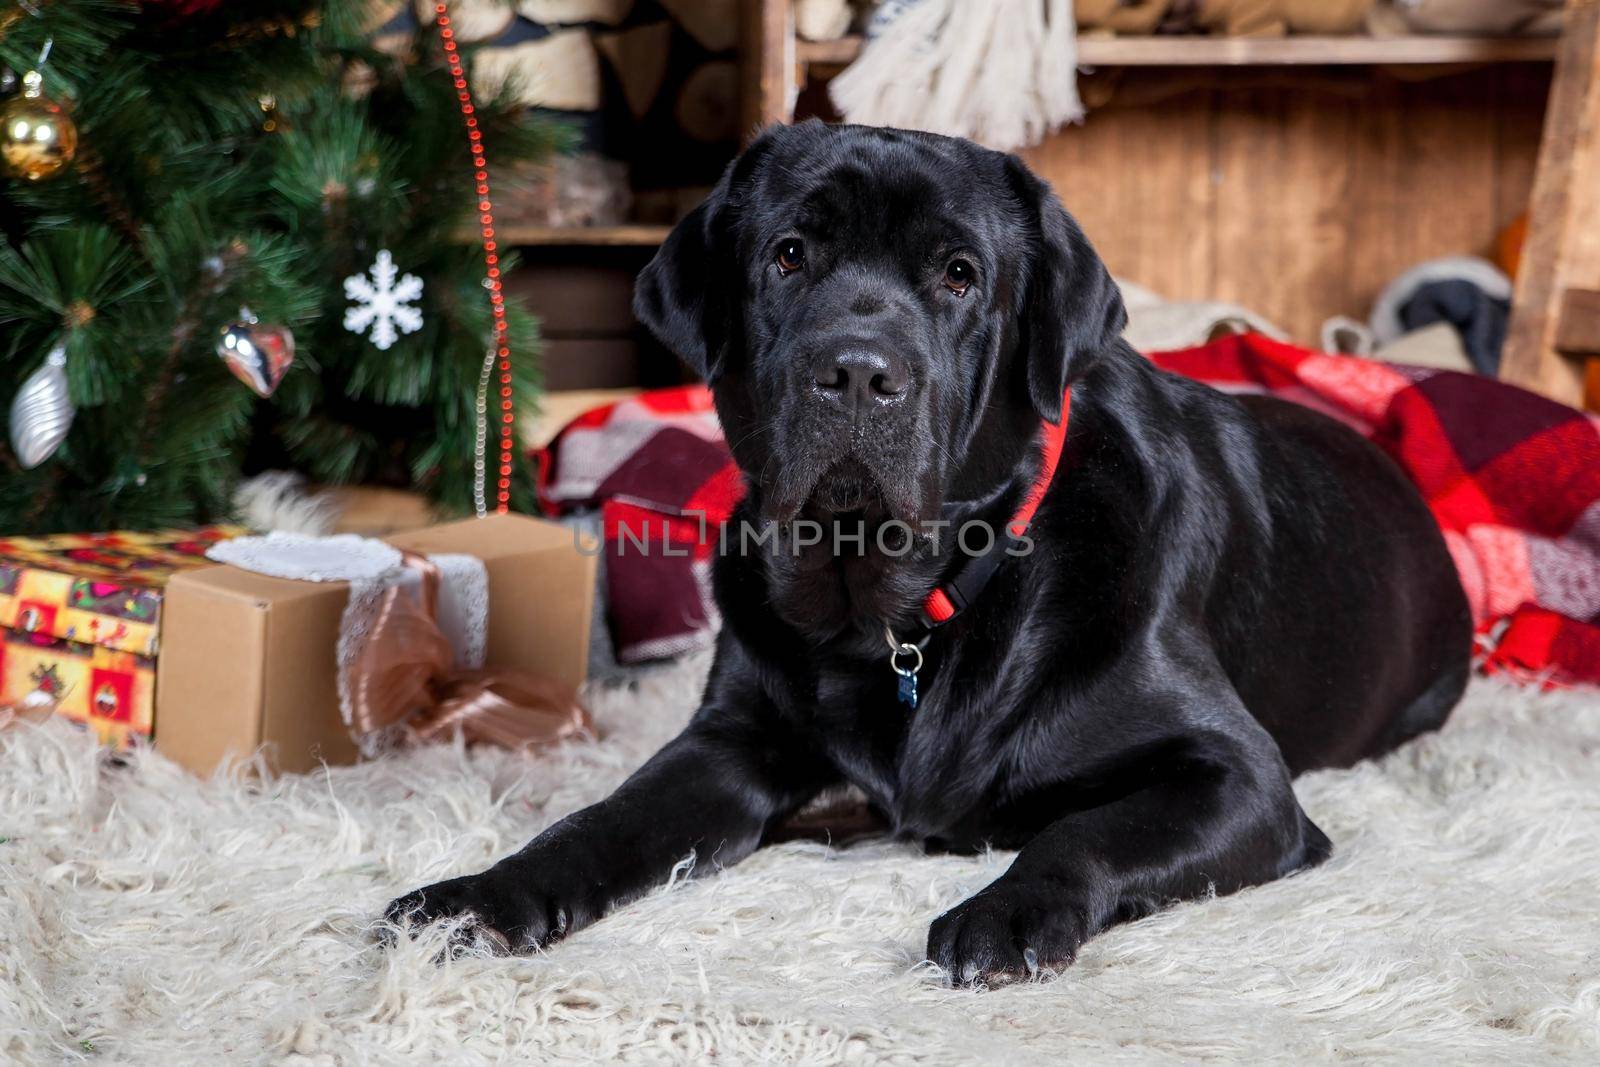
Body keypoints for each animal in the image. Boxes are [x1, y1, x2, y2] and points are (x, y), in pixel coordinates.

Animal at [390, 120, 1472, 991]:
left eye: (959, 274)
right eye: (789, 255)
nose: (858, 373)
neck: (905, 609)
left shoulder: (1241, 778)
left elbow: (1083, 828)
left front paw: (1002, 915)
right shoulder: (733, 738)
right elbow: (602, 819)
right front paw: (481, 894)